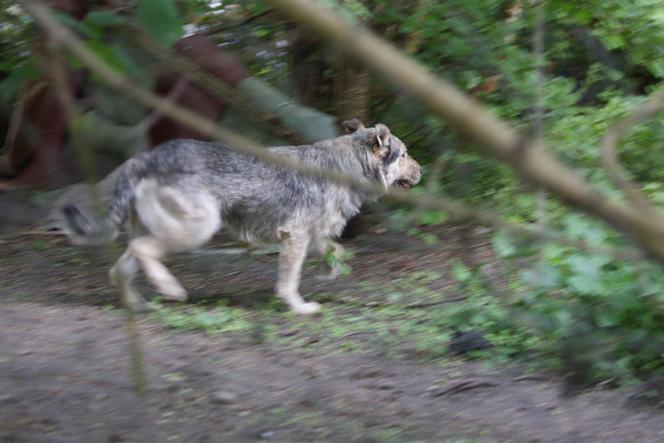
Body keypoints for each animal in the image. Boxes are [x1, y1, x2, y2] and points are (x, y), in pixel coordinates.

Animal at [61, 120, 420, 316]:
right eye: (404, 155)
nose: (421, 170)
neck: (346, 166)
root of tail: (144, 158)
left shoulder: (312, 236)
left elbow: (335, 251)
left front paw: (331, 272)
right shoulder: (295, 236)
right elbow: (289, 282)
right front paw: (299, 307)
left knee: (120, 268)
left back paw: (138, 306)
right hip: (197, 227)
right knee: (143, 252)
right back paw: (170, 289)